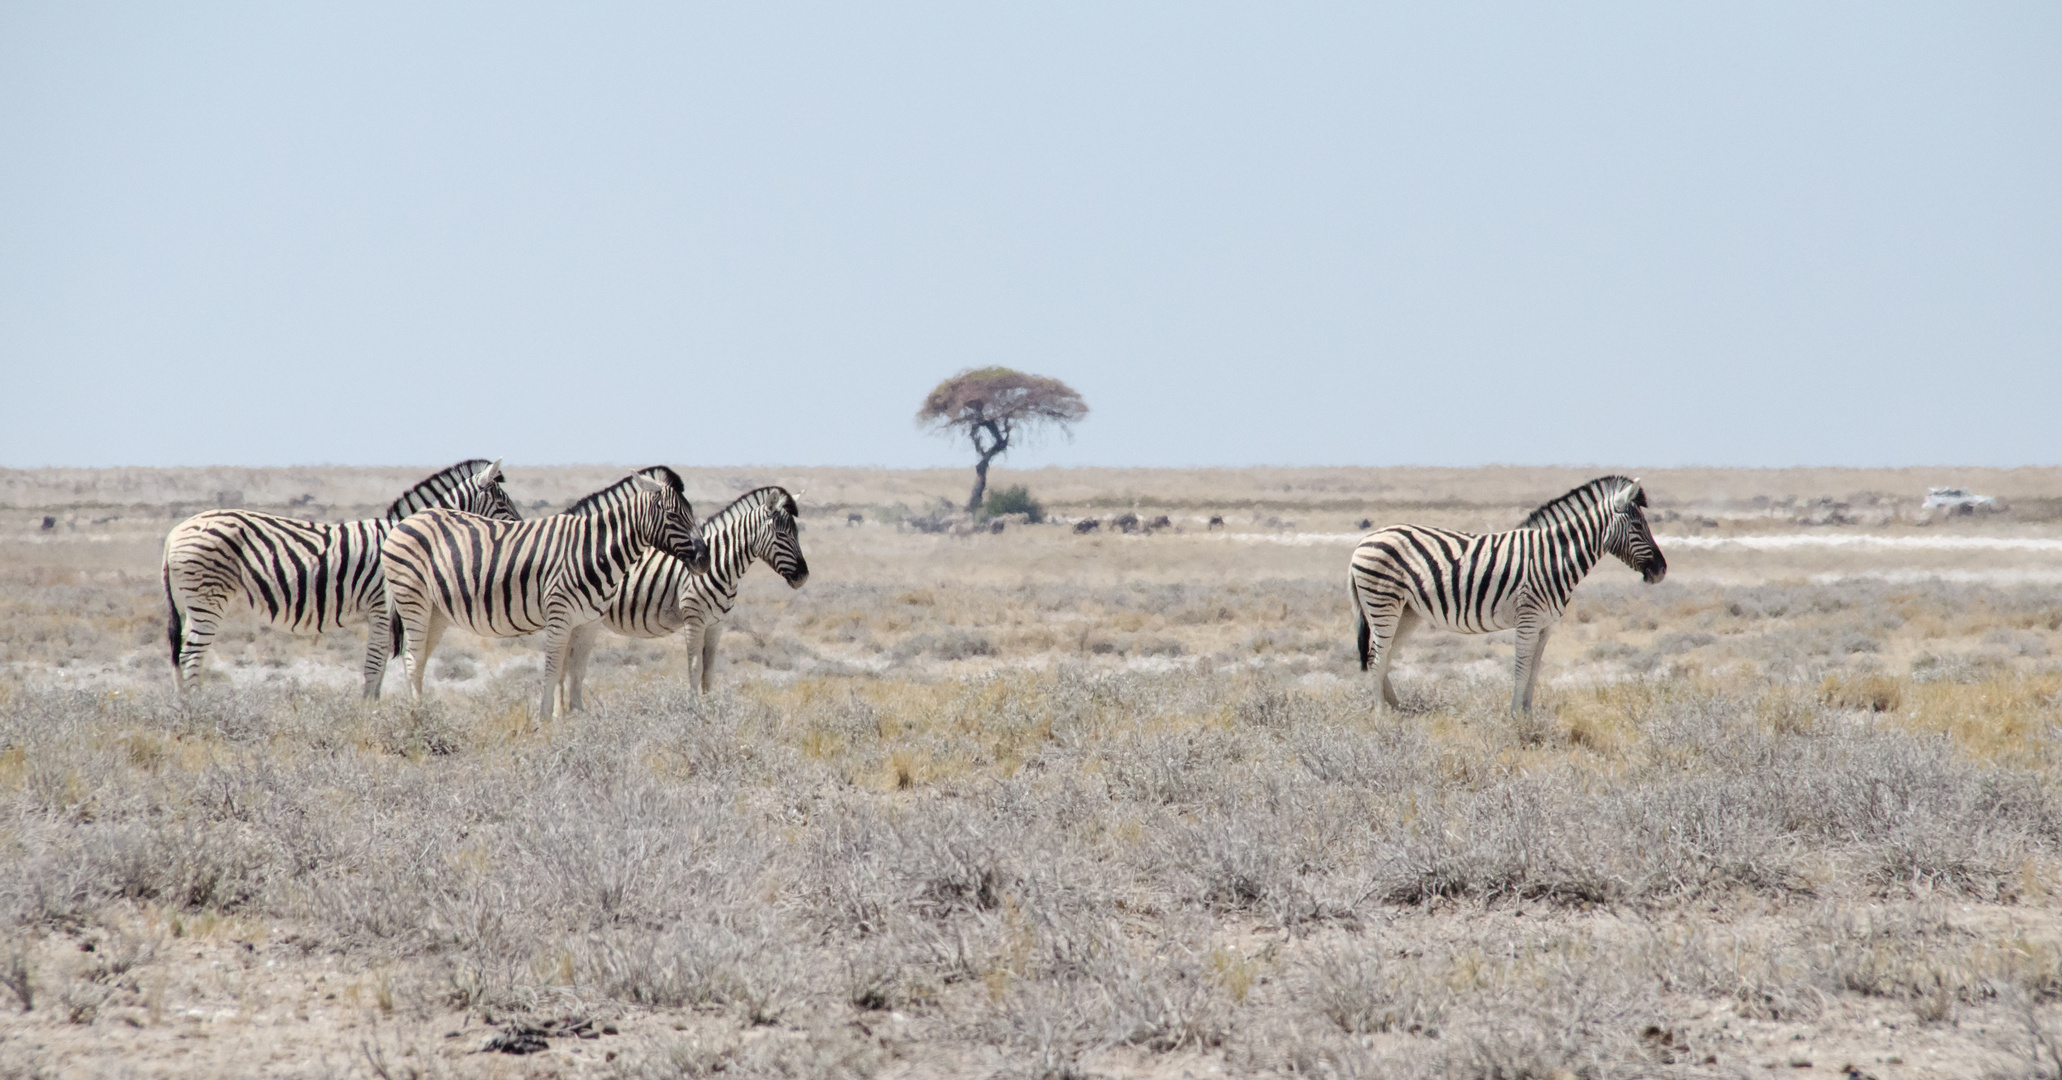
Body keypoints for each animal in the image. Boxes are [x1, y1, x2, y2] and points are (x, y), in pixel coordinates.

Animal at [161, 457, 523, 696]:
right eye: (503, 503)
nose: (521, 526)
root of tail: (174, 532)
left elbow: (379, 670)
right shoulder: (382, 609)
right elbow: (374, 668)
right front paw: (369, 716)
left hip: (196, 603)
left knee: (182, 656)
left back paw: (184, 713)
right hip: (209, 598)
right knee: (190, 657)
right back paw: (200, 713)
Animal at [379, 463, 709, 717]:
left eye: (691, 512)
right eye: (673, 515)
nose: (705, 559)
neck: (593, 550)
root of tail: (409, 519)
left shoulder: (588, 623)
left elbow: (576, 672)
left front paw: (577, 717)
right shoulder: (559, 615)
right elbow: (552, 670)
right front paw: (546, 719)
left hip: (436, 612)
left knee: (420, 658)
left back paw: (424, 710)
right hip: (413, 599)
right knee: (411, 659)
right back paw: (418, 715)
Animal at [560, 482, 808, 709]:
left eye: (797, 533)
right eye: (781, 534)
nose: (803, 576)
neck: (722, 565)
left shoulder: (716, 624)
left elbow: (709, 672)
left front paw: (710, 710)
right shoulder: (694, 618)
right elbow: (695, 668)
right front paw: (693, 709)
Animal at [1344, 474, 1666, 713]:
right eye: (1638, 525)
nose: (1662, 570)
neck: (1553, 558)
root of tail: (1364, 541)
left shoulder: (1546, 625)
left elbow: (1535, 671)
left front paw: (1528, 714)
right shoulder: (1528, 619)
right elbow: (1521, 670)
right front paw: (1514, 718)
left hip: (1407, 612)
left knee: (1385, 657)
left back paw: (1399, 710)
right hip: (1383, 603)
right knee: (1376, 658)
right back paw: (1382, 717)